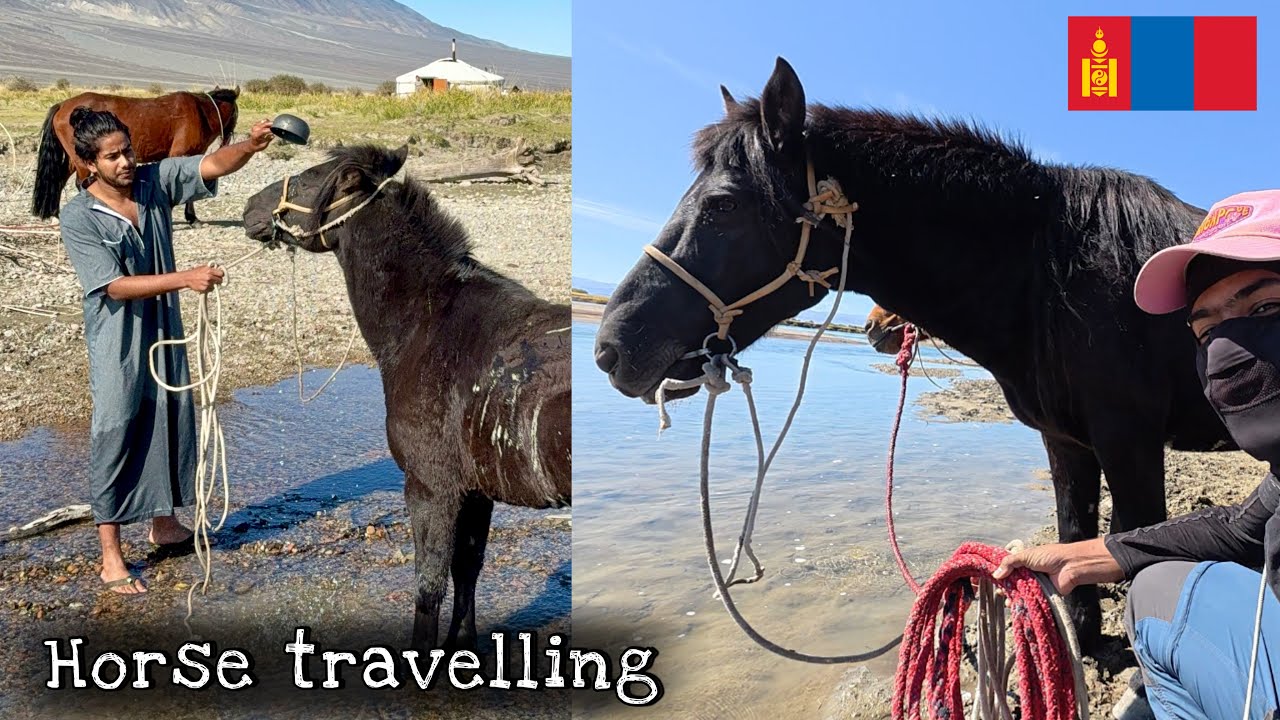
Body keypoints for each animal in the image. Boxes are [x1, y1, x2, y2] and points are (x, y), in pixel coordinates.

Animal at [32, 87, 240, 224]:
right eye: (237, 112)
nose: (228, 139)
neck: (201, 113)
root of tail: (62, 105)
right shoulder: (180, 154)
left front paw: (191, 217)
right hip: (82, 162)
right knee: (81, 183)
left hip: (75, 160)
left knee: (59, 180)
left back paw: (55, 215)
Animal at [241, 144, 571, 650]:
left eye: (308, 178)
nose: (249, 209)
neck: (428, 322)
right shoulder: (474, 492)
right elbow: (467, 571)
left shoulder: (430, 488)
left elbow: (429, 586)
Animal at [593, 57, 1233, 651]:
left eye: (722, 205)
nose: (611, 348)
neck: (1057, 276)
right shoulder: (1068, 443)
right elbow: (1076, 541)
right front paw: (1088, 641)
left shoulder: (1130, 445)